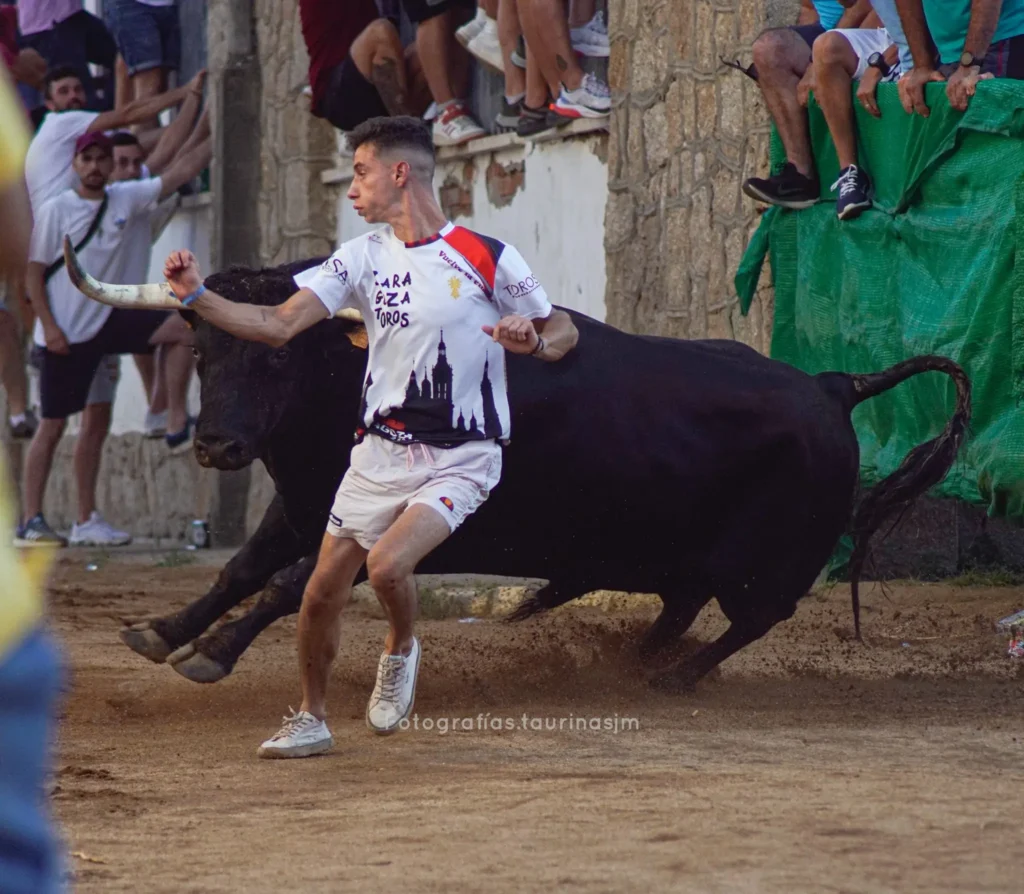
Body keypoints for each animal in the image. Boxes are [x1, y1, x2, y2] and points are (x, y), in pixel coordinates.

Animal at [117, 258, 966, 692]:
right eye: (204, 354)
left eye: (280, 357)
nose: (217, 446)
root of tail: (833, 386)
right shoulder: (307, 505)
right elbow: (242, 570)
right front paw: (161, 631)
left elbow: (288, 584)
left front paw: (212, 653)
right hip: (675, 551)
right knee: (686, 603)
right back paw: (637, 661)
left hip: (756, 562)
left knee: (757, 615)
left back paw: (674, 677)